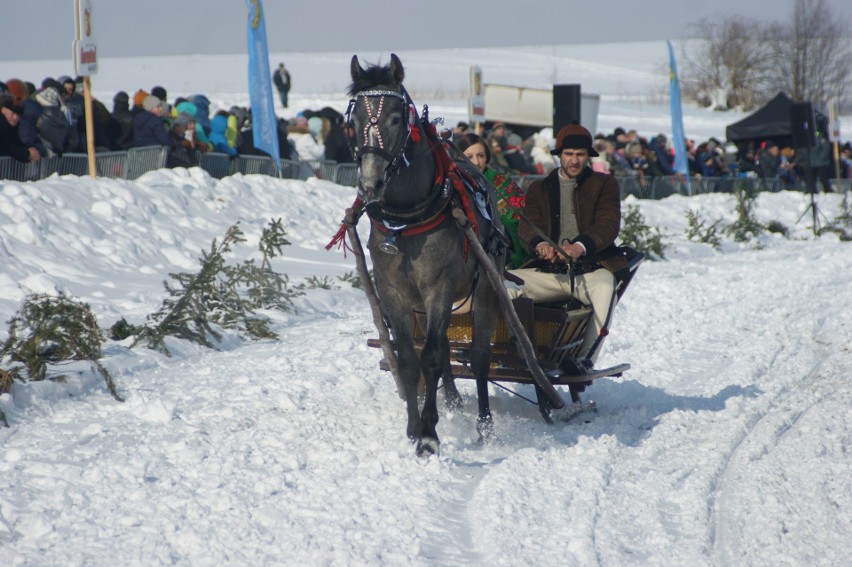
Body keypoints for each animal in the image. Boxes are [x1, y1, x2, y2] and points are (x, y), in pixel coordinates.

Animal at [346, 53, 506, 458]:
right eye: (353, 121)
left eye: (396, 117)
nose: (370, 183)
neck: (407, 218)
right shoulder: (394, 292)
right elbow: (408, 361)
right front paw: (414, 426)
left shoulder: (439, 285)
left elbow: (431, 357)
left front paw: (430, 436)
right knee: (446, 346)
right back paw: (451, 402)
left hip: (485, 285)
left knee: (478, 356)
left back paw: (484, 425)